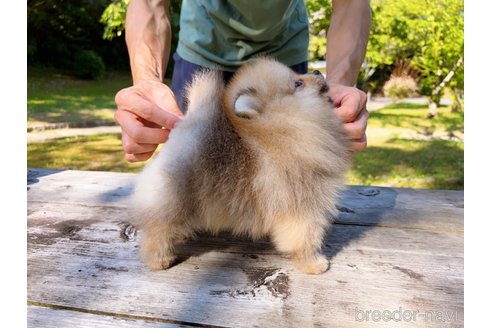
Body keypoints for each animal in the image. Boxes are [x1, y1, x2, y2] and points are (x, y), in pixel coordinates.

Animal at [128, 58, 350, 274]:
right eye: (298, 83)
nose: (317, 72)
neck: (283, 130)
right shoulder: (302, 204)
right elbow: (306, 238)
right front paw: (314, 264)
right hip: (172, 193)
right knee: (157, 228)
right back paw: (160, 260)